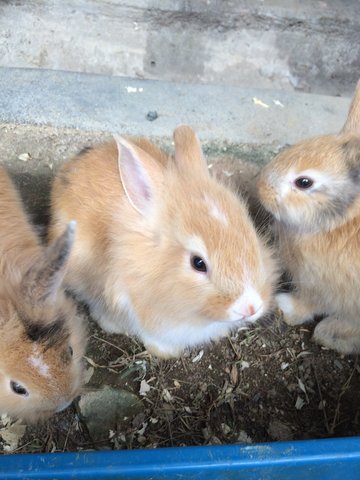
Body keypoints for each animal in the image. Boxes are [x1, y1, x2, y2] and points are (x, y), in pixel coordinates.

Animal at [258, 80, 360, 354]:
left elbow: (310, 303)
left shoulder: (324, 287)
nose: (260, 188)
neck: (339, 224)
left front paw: (285, 307)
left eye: (304, 182)